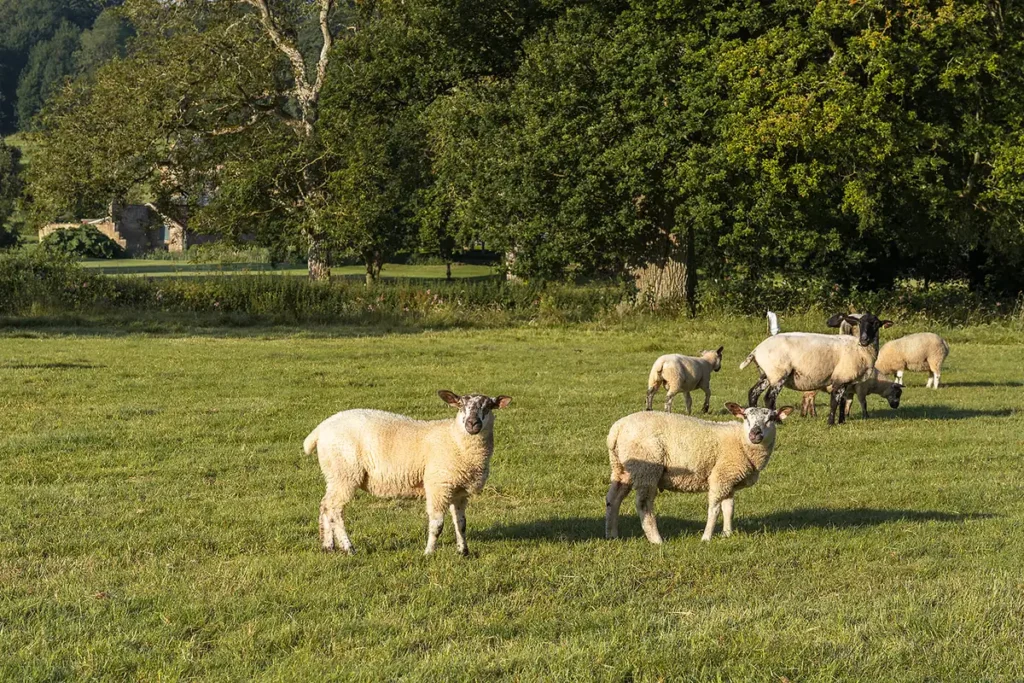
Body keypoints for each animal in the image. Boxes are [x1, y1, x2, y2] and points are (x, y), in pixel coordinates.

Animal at [303, 390, 512, 556]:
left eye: (488, 406)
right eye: (460, 406)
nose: (472, 423)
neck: (455, 439)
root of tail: (320, 430)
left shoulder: (459, 490)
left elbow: (461, 523)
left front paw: (463, 551)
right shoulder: (438, 486)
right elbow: (437, 524)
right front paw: (429, 553)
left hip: (334, 473)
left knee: (325, 505)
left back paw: (328, 546)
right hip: (345, 472)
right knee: (335, 509)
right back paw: (349, 548)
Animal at [605, 402, 794, 543]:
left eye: (771, 418)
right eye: (746, 416)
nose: (755, 433)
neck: (741, 442)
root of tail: (617, 428)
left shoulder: (729, 479)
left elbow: (729, 508)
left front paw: (727, 534)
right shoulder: (720, 477)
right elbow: (715, 509)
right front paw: (706, 538)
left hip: (621, 469)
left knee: (613, 499)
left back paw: (612, 534)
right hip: (647, 468)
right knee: (643, 504)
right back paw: (657, 540)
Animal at [740, 312, 894, 425]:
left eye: (876, 324)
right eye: (860, 323)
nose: (864, 340)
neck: (860, 349)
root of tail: (756, 350)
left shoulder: (846, 379)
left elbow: (843, 402)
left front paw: (842, 422)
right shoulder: (840, 378)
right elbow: (834, 402)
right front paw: (831, 423)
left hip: (766, 374)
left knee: (753, 392)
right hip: (778, 373)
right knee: (769, 398)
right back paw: (777, 422)